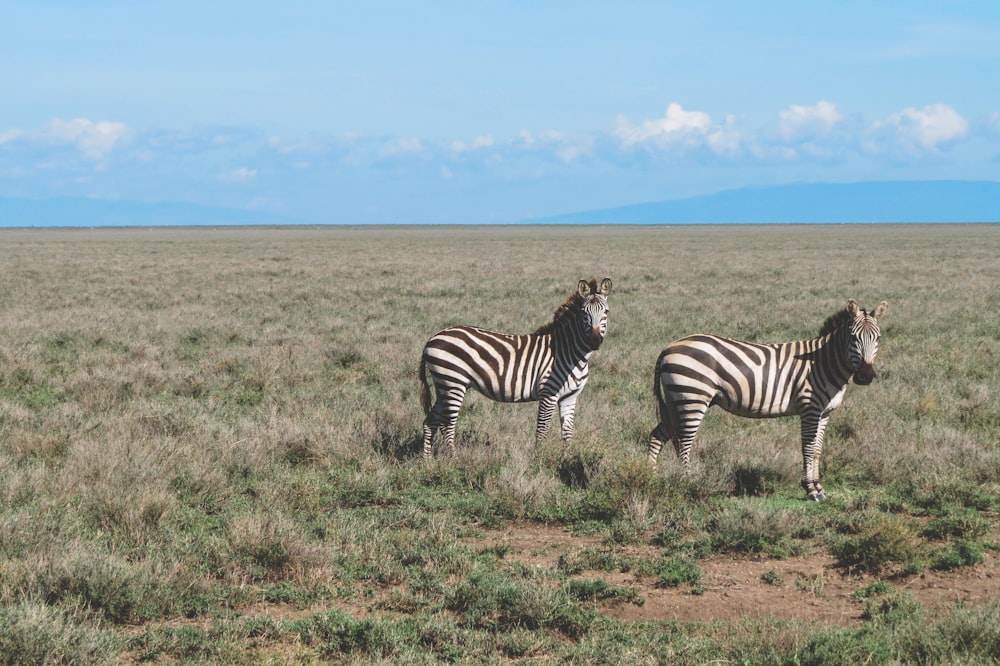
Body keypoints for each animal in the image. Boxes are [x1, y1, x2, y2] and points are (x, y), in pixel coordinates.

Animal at [420, 276, 612, 456]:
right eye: (584, 313)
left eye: (606, 312)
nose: (594, 341)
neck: (569, 352)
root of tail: (433, 337)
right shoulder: (549, 393)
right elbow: (542, 430)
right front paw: (538, 459)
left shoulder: (570, 397)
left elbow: (567, 433)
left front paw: (566, 458)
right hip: (453, 382)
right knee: (448, 425)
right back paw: (453, 459)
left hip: (444, 385)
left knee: (430, 422)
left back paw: (427, 461)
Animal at [648, 300, 892, 498]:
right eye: (853, 338)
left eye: (878, 338)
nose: (866, 376)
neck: (823, 362)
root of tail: (668, 348)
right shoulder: (810, 408)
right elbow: (808, 448)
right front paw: (810, 489)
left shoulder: (825, 413)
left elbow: (817, 450)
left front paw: (818, 487)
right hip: (692, 398)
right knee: (684, 443)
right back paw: (689, 482)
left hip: (676, 401)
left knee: (658, 435)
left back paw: (652, 478)